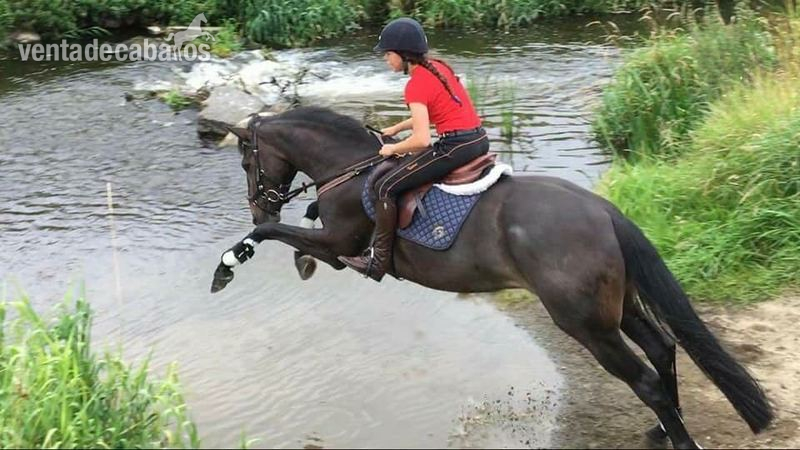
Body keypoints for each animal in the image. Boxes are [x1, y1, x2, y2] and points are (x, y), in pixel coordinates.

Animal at [213, 106, 772, 449]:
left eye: (245, 162)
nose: (258, 202)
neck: (350, 167)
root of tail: (605, 211)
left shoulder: (339, 245)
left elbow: (273, 234)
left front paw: (228, 266)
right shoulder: (333, 243)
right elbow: (292, 228)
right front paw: (290, 256)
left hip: (585, 323)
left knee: (646, 379)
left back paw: (675, 434)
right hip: (616, 306)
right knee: (662, 348)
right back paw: (660, 429)